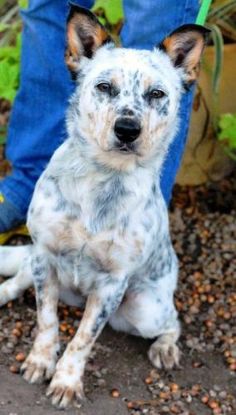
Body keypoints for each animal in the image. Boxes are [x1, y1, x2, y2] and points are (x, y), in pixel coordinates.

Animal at [0, 4, 208, 412]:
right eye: (104, 87)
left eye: (156, 94)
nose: (127, 129)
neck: (103, 182)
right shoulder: (45, 258)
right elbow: (46, 321)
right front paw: (40, 361)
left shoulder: (112, 284)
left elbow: (83, 339)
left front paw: (66, 380)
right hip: (41, 267)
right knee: (18, 279)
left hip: (145, 309)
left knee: (172, 322)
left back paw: (165, 348)